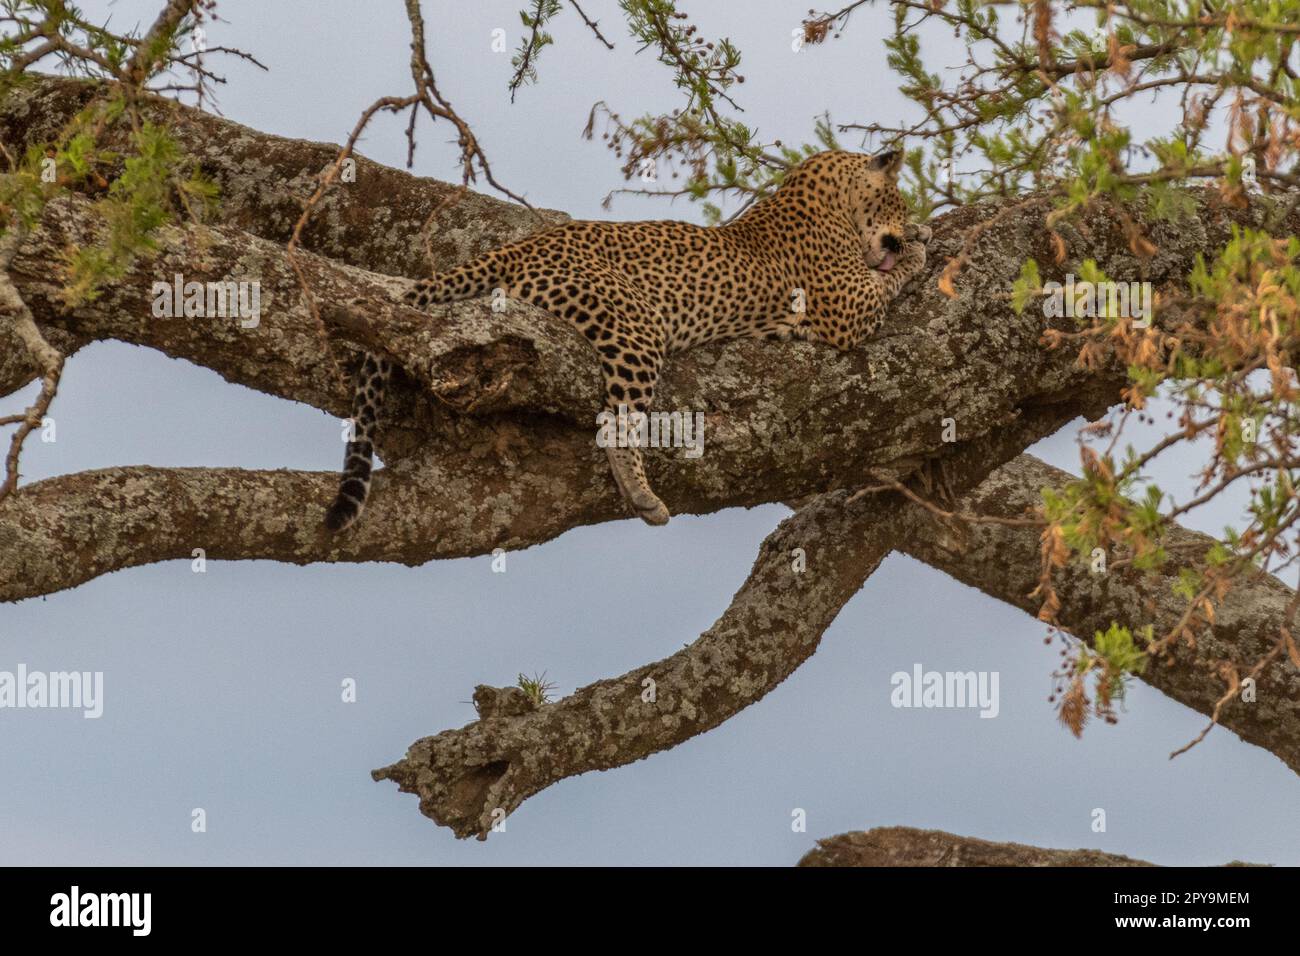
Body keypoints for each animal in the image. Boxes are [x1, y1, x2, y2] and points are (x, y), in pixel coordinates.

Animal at [324, 147, 931, 533]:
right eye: (900, 199)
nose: (912, 221)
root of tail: (519, 247)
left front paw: (921, 237)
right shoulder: (849, 306)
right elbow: (893, 274)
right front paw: (922, 243)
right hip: (635, 329)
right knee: (616, 425)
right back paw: (644, 497)